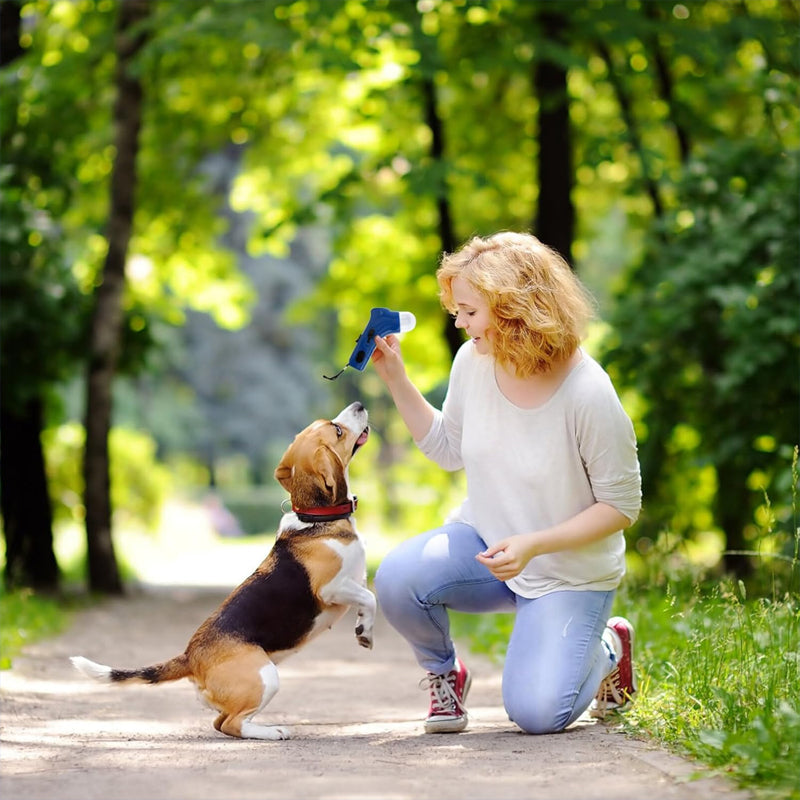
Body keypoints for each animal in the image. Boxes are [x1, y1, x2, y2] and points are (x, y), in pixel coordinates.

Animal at [69, 404, 376, 740]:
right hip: (266, 676)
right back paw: (273, 731)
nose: (359, 405)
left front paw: (363, 628)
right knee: (232, 723)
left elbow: (366, 598)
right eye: (337, 430)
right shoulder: (331, 588)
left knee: (221, 723)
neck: (316, 519)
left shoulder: (354, 582)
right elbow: (370, 597)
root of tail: (190, 656)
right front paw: (365, 631)